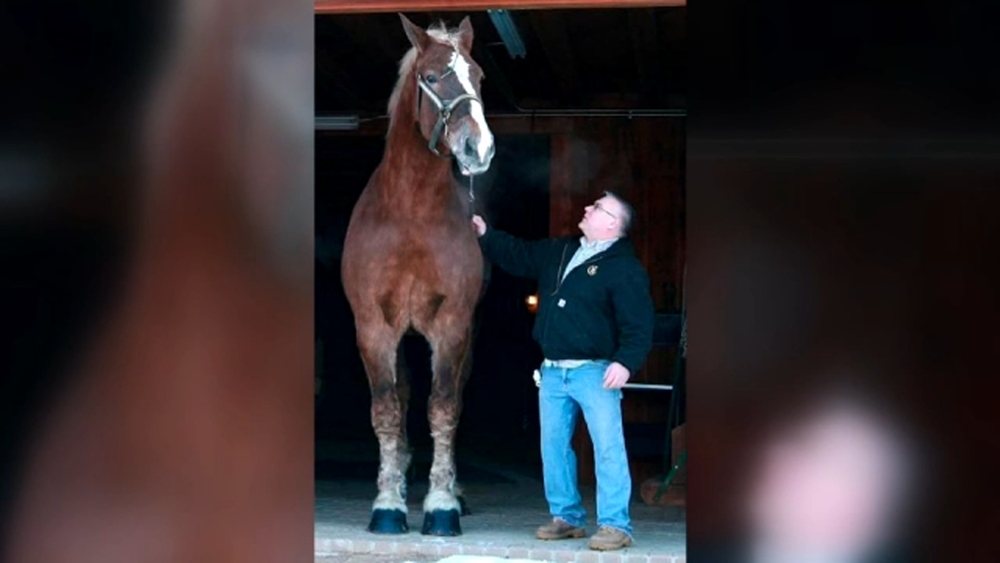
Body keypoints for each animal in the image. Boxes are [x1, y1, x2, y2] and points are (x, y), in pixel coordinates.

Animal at [340, 14, 495, 537]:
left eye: (478, 76)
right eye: (430, 77)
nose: (478, 148)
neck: (411, 214)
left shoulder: (451, 326)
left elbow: (444, 407)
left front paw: (442, 504)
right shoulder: (373, 326)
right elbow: (387, 408)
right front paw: (388, 504)